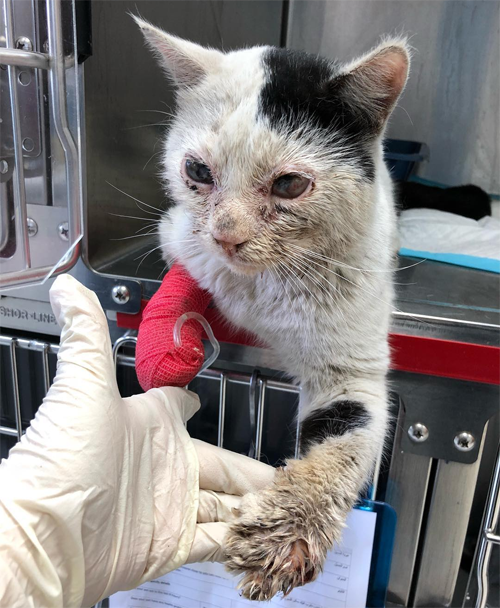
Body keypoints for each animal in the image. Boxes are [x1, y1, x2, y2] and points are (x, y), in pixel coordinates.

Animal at [134, 16, 410, 600]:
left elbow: (343, 437)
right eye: (197, 170)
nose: (225, 236)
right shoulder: (182, 236)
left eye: (289, 184)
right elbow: (186, 270)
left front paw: (288, 533)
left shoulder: (353, 362)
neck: (267, 282)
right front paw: (170, 339)